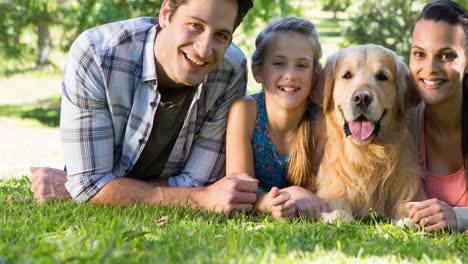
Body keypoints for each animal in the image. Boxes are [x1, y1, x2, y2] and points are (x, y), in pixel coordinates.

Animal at [318, 44, 424, 221]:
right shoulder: (332, 189)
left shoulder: (409, 184)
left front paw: (408, 219)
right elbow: (339, 205)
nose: (361, 98)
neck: (367, 153)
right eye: (347, 75)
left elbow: (407, 204)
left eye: (382, 76)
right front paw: (337, 217)